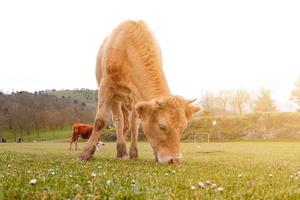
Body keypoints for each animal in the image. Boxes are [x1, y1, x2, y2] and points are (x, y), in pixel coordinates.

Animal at [80, 20, 202, 164]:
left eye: (183, 128)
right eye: (162, 126)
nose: (175, 160)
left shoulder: (137, 96)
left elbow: (136, 123)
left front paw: (137, 153)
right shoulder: (107, 85)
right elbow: (100, 120)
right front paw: (86, 152)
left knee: (131, 123)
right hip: (115, 97)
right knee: (118, 120)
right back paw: (121, 150)